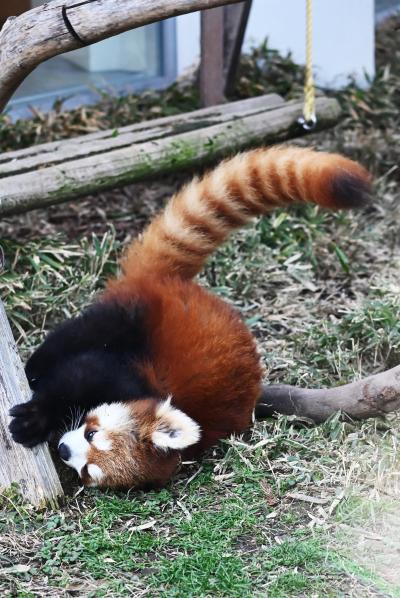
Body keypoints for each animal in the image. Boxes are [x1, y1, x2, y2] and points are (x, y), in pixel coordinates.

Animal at [9, 146, 372, 492]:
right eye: (91, 434)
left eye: (87, 471)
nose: (64, 451)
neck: (153, 396)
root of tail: (175, 282)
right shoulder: (119, 371)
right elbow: (70, 379)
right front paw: (34, 419)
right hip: (132, 316)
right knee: (74, 335)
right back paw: (33, 366)